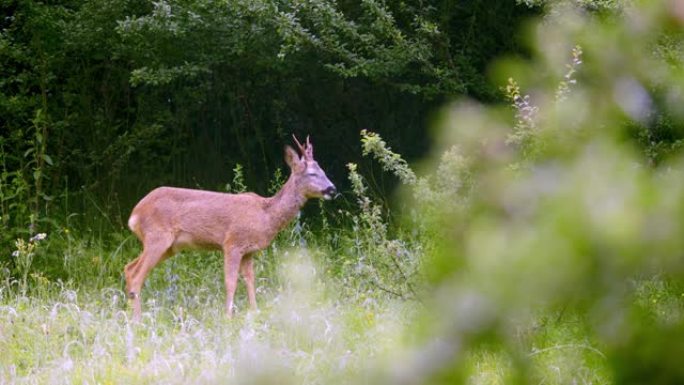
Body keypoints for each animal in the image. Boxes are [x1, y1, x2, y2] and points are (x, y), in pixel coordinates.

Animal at [125, 135, 336, 320]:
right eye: (312, 173)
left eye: (324, 171)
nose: (332, 189)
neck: (265, 216)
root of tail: (134, 215)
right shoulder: (232, 243)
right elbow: (231, 282)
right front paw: (228, 317)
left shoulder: (249, 251)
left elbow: (250, 280)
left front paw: (255, 312)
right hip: (157, 237)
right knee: (136, 275)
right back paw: (137, 320)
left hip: (169, 246)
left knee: (129, 267)